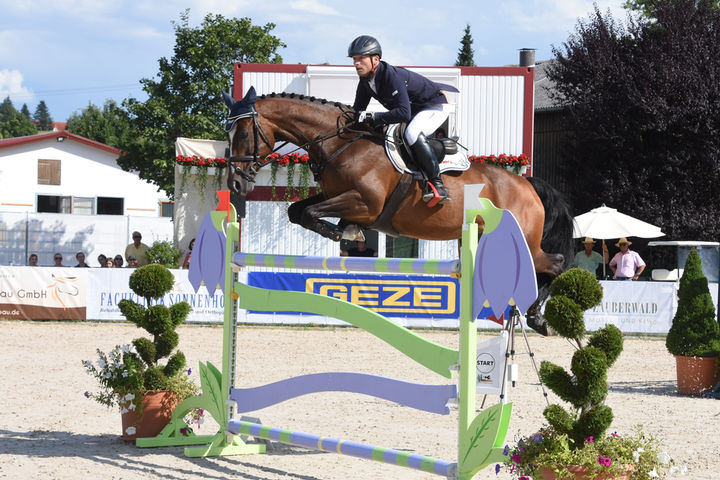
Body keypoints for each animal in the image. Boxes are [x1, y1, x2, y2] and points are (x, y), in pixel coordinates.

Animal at [222, 87, 572, 334]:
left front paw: (344, 233)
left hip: (524, 241)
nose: (235, 183)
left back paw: (537, 317)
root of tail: (527, 184)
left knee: (555, 263)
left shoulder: (366, 203)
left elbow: (311, 214)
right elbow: (297, 211)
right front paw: (345, 231)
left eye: (243, 133)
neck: (340, 143)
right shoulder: (336, 195)